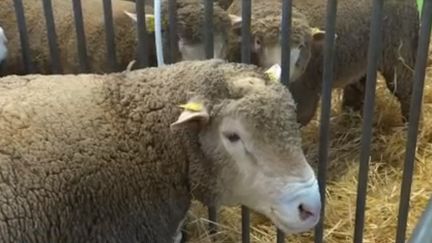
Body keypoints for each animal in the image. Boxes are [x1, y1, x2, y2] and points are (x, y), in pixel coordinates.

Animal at [226, 0, 418, 125]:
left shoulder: (304, 96)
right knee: (357, 88)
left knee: (407, 90)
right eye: (258, 42)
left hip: (399, 54)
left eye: (302, 45)